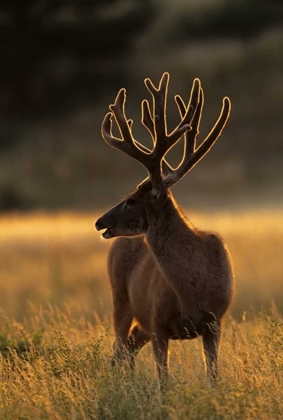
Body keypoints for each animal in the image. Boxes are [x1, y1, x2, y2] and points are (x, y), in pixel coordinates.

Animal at [96, 74, 235, 382]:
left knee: (127, 348)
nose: (99, 222)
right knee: (117, 349)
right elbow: (164, 381)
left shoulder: (215, 321)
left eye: (131, 200)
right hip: (119, 299)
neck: (192, 292)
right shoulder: (158, 321)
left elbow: (213, 377)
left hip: (137, 319)